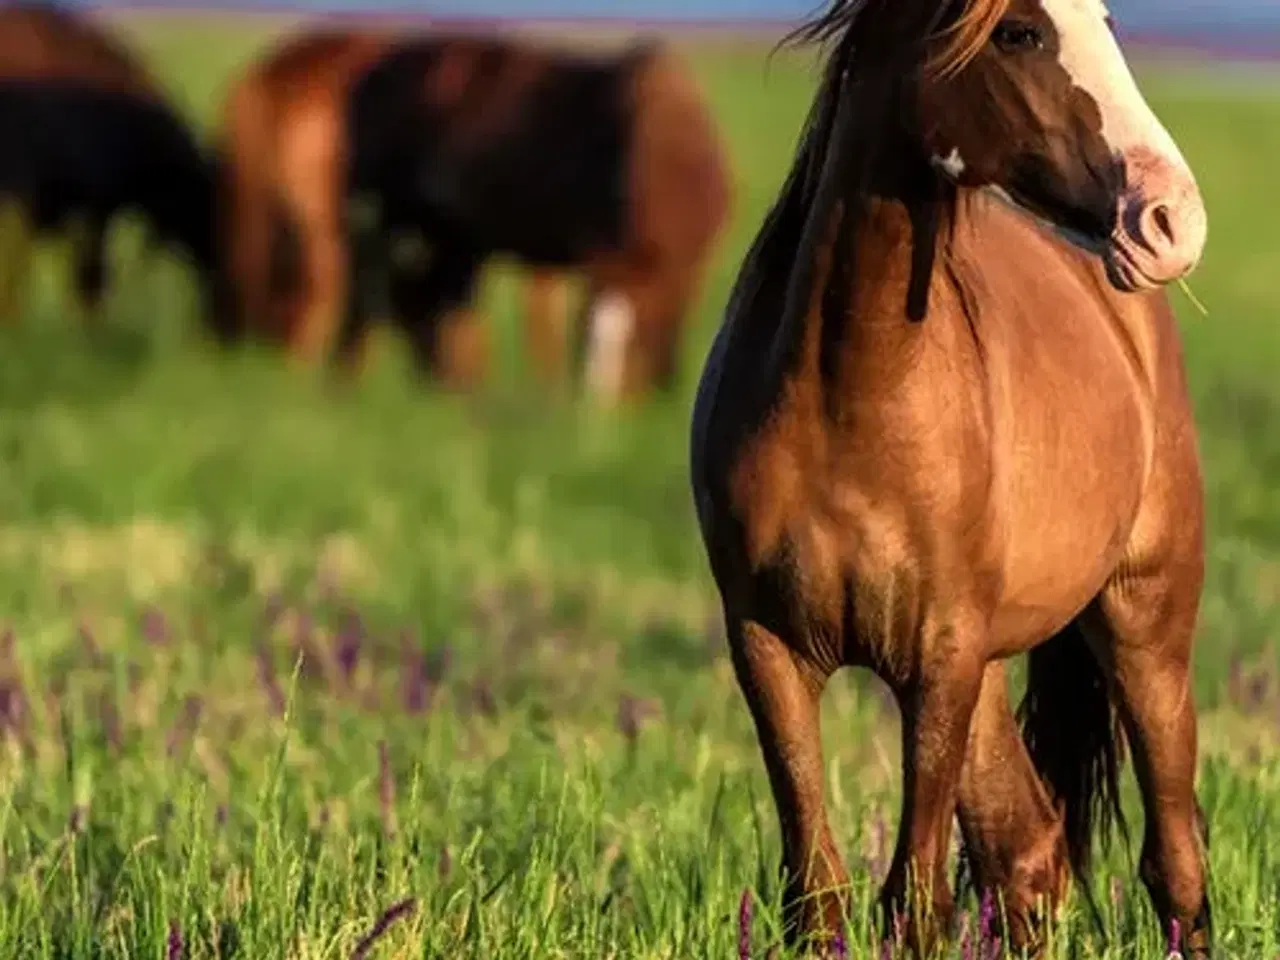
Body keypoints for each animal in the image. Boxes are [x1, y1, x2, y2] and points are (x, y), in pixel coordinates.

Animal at [335, 30, 732, 399]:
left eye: (640, 338)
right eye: (584, 333)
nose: (597, 415)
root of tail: (375, 73)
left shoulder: (685, 272)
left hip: (449, 244)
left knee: (429, 308)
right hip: (381, 223)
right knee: (369, 297)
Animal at [696, 0, 1213, 957]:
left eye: (1110, 22)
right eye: (1018, 33)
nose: (1171, 218)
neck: (851, 394)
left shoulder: (939, 660)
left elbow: (915, 899)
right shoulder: (769, 647)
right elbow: (817, 894)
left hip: (1144, 630)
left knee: (1174, 866)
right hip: (993, 673)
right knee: (1030, 854)